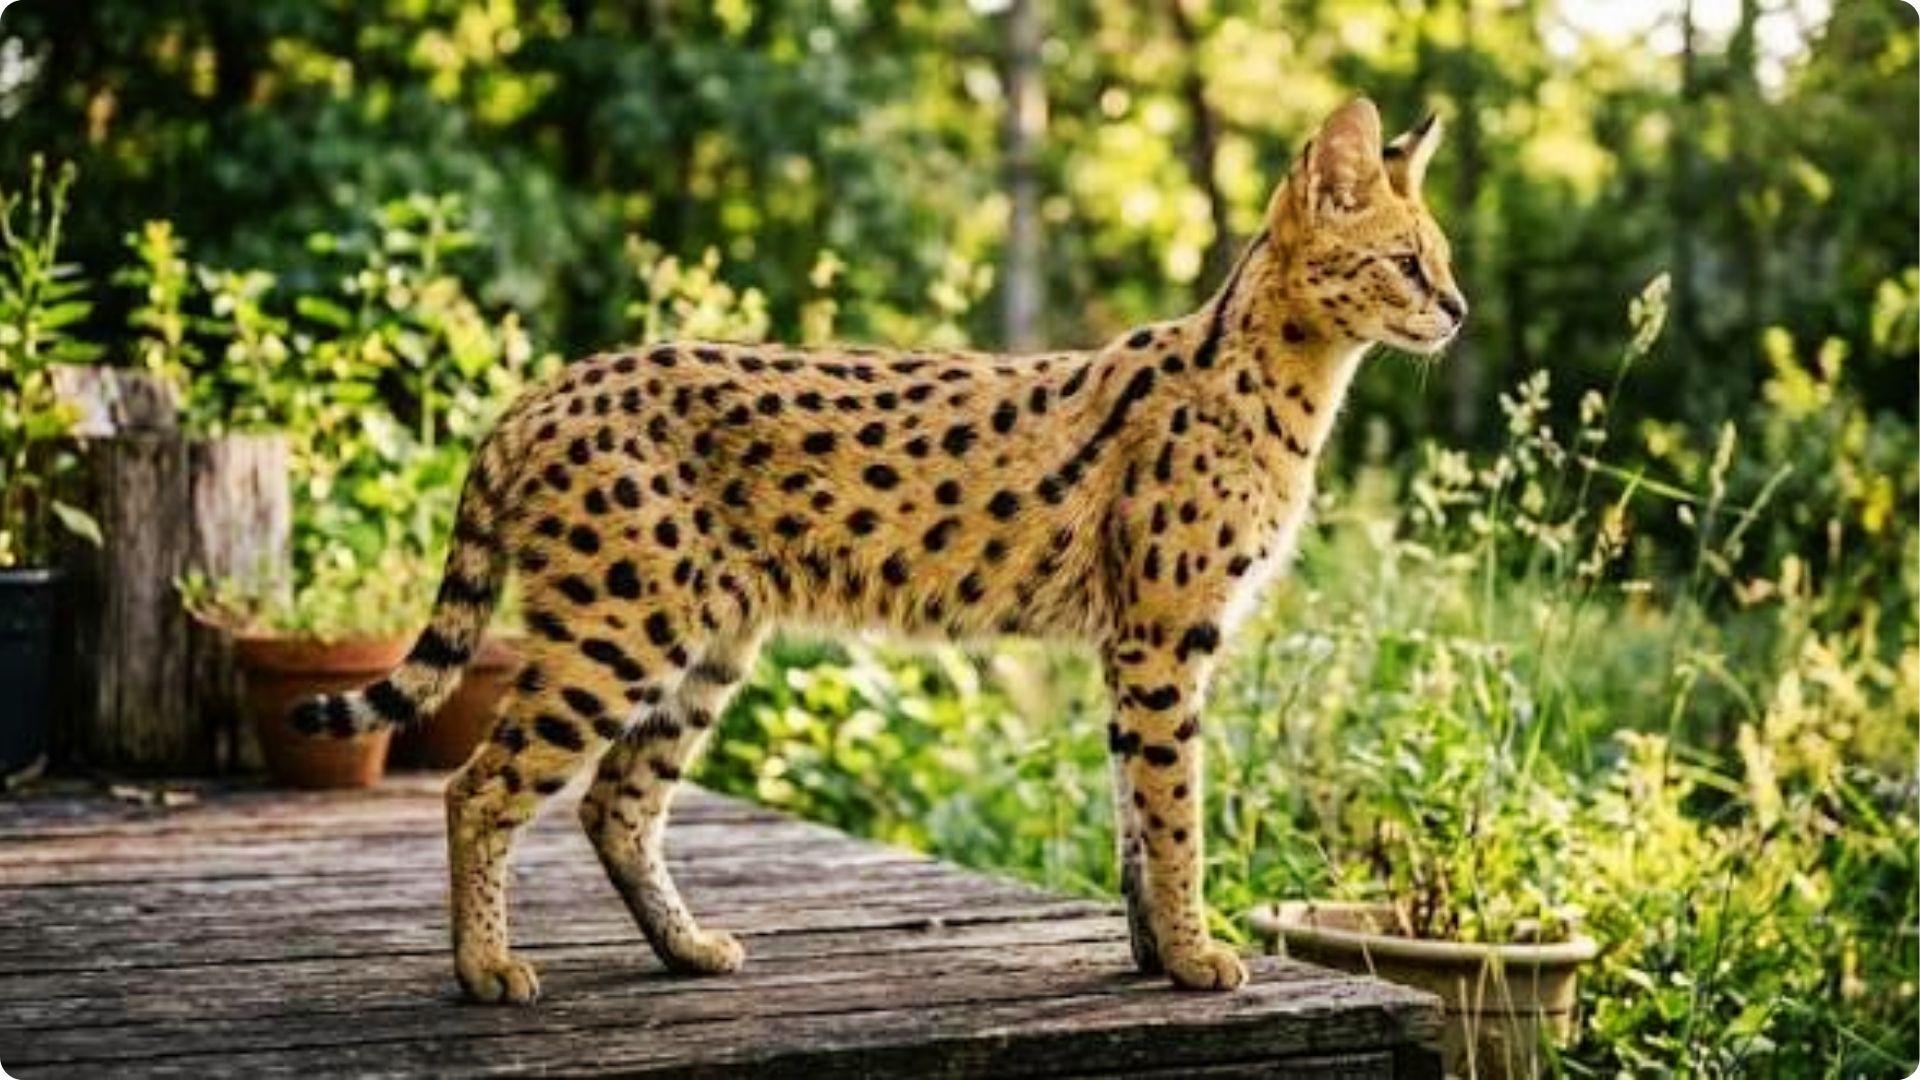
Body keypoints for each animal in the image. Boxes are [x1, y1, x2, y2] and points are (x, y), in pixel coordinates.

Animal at [292, 97, 1466, 1004]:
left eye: (1441, 263)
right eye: (1405, 263)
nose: (1457, 309)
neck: (1288, 381)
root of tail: (539, 391)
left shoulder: (1135, 647)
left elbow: (1136, 813)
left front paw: (1153, 956)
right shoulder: (1165, 638)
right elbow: (1176, 812)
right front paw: (1191, 956)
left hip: (704, 640)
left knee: (615, 802)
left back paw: (686, 949)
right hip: (621, 628)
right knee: (480, 787)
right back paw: (485, 971)